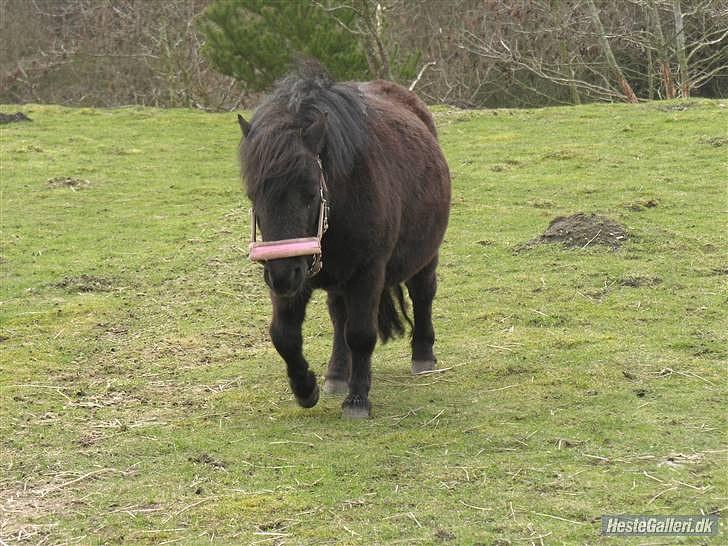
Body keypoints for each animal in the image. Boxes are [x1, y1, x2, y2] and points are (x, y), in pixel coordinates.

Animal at [240, 61, 450, 416]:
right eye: (254, 195)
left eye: (311, 193)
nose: (282, 276)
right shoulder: (294, 274)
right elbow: (284, 335)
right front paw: (305, 388)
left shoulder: (367, 272)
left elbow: (361, 334)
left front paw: (357, 400)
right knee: (339, 316)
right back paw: (337, 374)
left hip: (422, 257)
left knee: (423, 293)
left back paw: (422, 355)